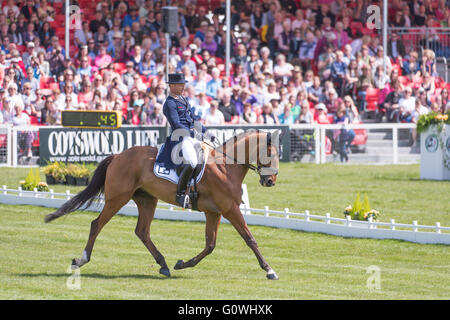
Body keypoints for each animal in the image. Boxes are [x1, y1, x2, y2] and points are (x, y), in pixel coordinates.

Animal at [44, 130, 280, 280]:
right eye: (269, 154)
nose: (270, 181)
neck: (225, 167)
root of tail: (118, 155)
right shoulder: (230, 209)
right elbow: (250, 239)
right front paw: (269, 270)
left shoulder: (214, 213)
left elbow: (210, 245)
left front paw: (182, 264)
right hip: (117, 198)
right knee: (97, 224)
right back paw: (81, 260)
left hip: (147, 200)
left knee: (142, 231)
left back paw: (164, 265)